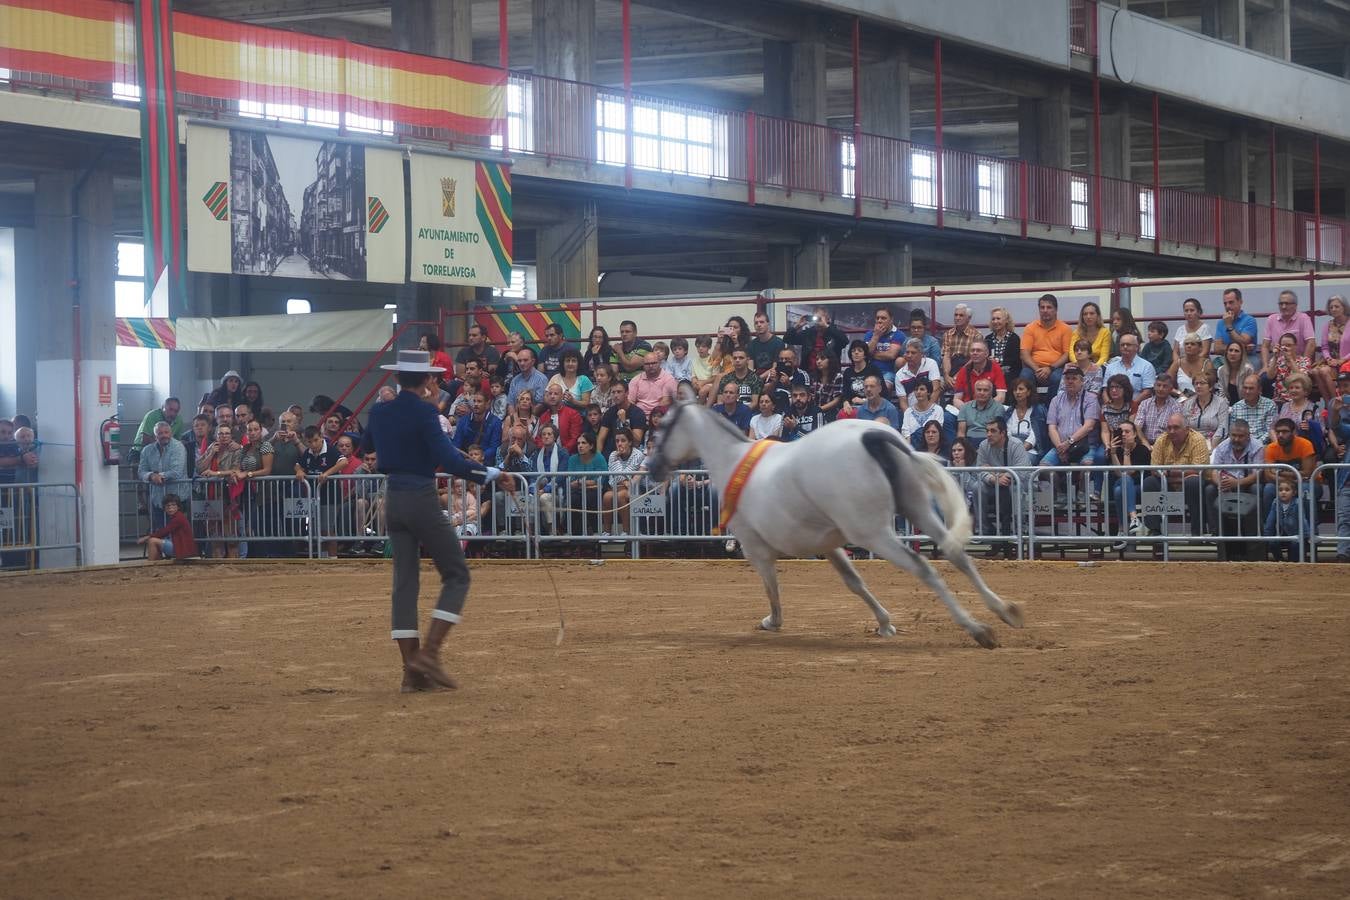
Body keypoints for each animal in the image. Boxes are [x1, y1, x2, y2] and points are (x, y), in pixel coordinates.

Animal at [650, 385, 1020, 647]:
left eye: (663, 426)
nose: (653, 469)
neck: (733, 461)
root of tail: (872, 435)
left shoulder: (756, 549)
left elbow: (771, 587)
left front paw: (773, 622)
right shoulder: (829, 545)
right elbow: (854, 583)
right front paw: (884, 623)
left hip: (875, 533)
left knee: (924, 568)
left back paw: (977, 629)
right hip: (918, 509)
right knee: (956, 554)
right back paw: (1006, 611)